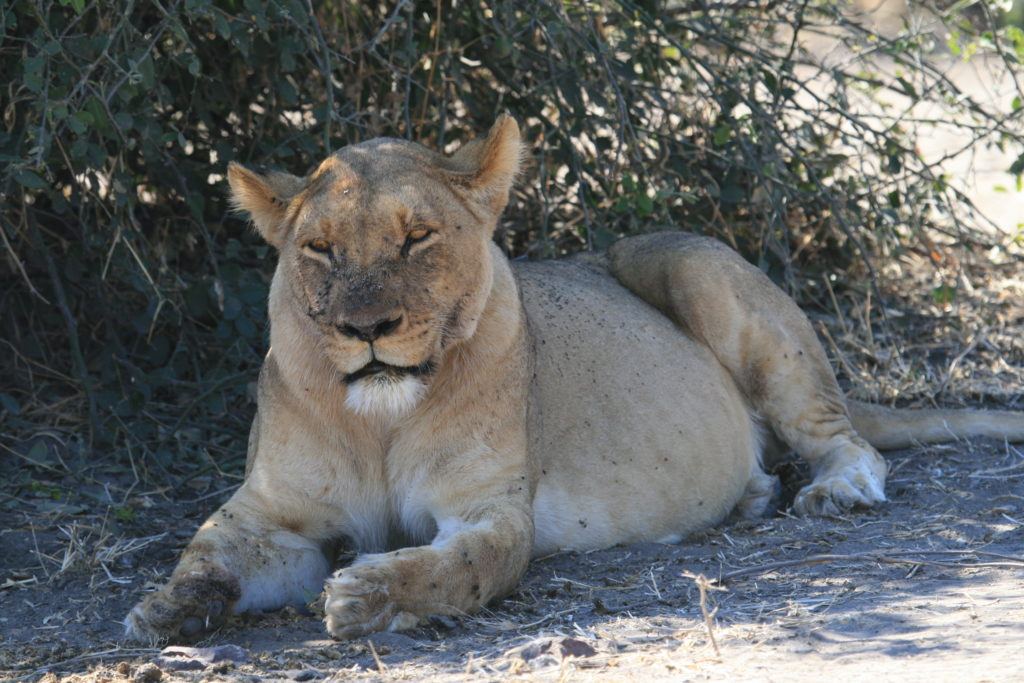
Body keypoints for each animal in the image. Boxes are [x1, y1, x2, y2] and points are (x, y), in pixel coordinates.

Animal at [125, 115, 1024, 641]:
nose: (366, 329)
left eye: (417, 237)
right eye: (319, 249)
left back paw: (831, 490)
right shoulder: (271, 512)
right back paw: (752, 493)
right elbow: (206, 551)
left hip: (699, 269)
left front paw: (367, 594)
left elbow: (456, 568)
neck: (378, 416)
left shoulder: (488, 509)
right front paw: (164, 608)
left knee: (847, 440)